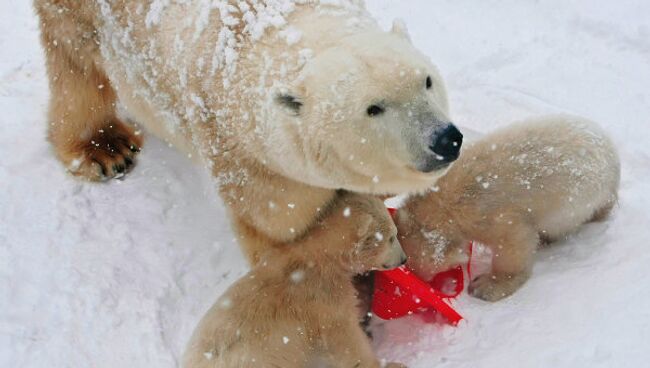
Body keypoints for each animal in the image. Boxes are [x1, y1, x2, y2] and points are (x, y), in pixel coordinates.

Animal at [34, 1, 460, 264]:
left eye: (426, 81)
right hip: (80, 15)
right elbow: (281, 233)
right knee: (75, 62)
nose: (445, 139)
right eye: (374, 108)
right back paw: (104, 149)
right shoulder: (250, 163)